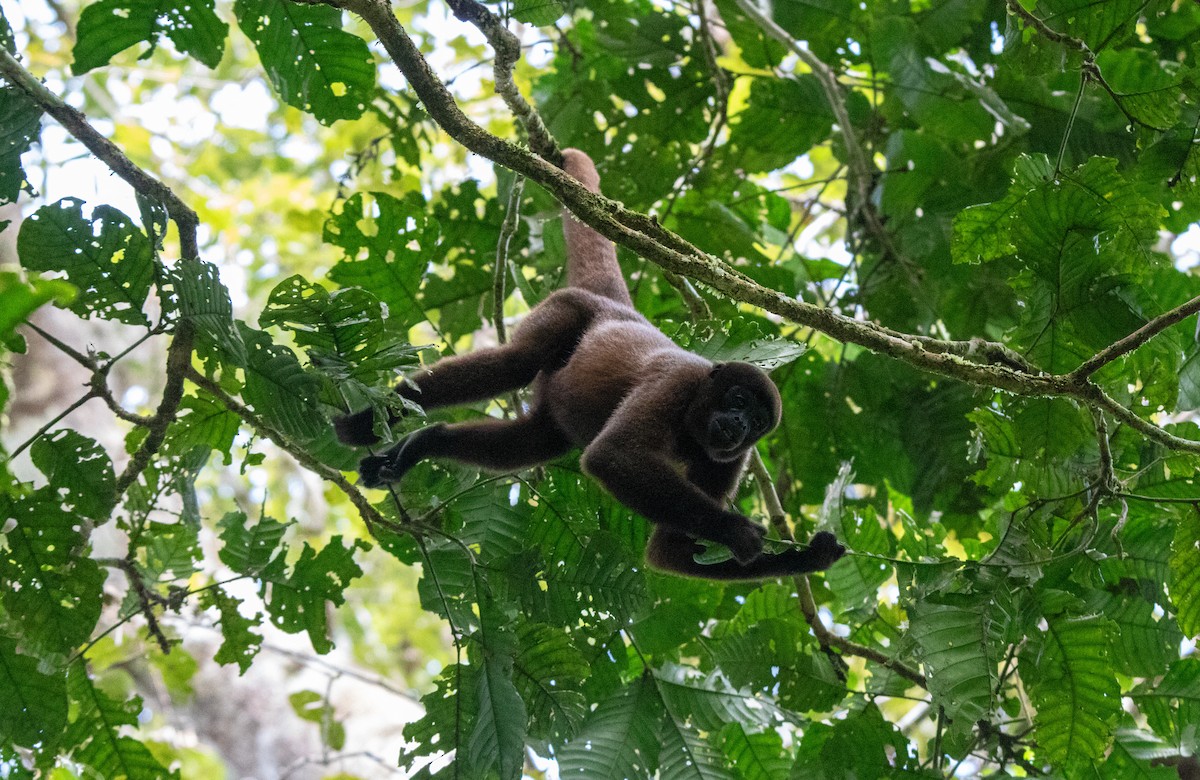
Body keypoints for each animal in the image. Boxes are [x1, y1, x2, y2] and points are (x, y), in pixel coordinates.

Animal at [335, 149, 846, 580]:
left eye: (758, 422)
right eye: (738, 400)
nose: (739, 425)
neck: (695, 416)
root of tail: (615, 305)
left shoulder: (731, 459)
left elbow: (669, 551)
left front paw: (810, 558)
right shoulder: (676, 383)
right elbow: (612, 455)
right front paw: (738, 531)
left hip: (557, 399)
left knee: (531, 440)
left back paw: (425, 442)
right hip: (566, 309)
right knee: (514, 365)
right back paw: (365, 422)